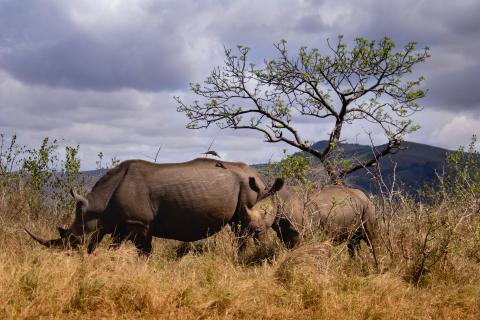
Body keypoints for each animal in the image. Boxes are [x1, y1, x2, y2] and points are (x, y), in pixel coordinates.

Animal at [26, 158, 284, 255]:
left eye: (73, 239)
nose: (68, 255)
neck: (99, 205)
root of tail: (259, 177)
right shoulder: (123, 224)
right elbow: (115, 246)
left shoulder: (139, 223)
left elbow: (145, 251)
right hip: (248, 188)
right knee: (240, 226)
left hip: (250, 189)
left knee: (245, 224)